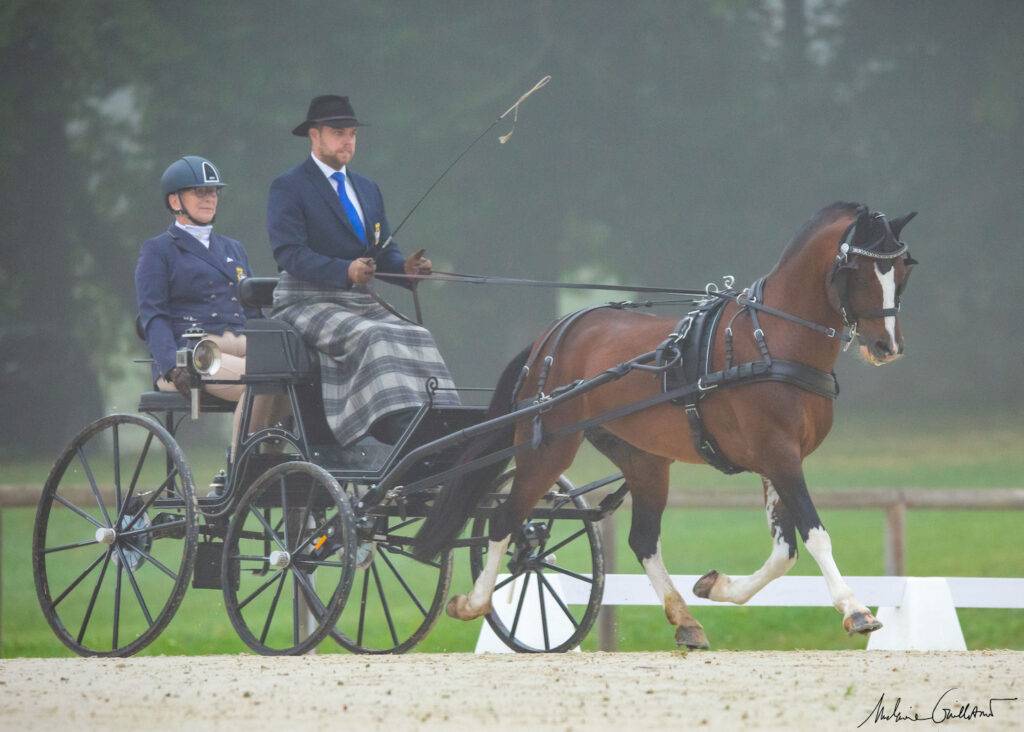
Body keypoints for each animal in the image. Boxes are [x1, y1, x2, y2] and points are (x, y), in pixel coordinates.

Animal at [414, 202, 918, 649]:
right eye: (858, 269)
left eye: (902, 270)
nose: (886, 346)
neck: (772, 339)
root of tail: (553, 336)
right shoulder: (778, 454)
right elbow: (815, 535)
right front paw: (856, 610)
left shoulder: (776, 460)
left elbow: (784, 552)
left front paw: (716, 586)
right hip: (547, 447)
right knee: (505, 518)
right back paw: (472, 603)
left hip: (643, 458)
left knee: (643, 539)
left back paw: (686, 620)